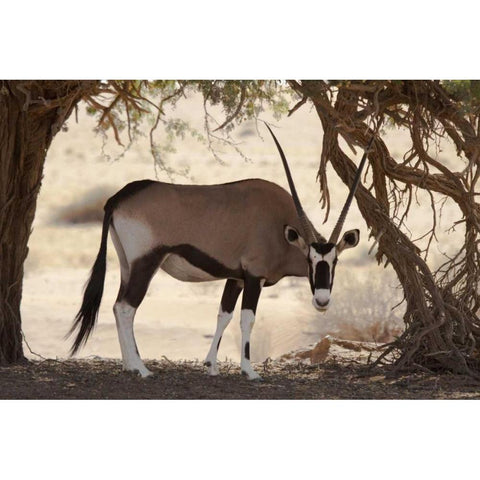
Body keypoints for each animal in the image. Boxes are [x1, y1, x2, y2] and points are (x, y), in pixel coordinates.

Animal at [68, 125, 372, 380]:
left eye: (334, 261)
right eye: (310, 260)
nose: (322, 301)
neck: (279, 224)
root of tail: (118, 198)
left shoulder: (235, 278)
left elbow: (223, 316)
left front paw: (211, 365)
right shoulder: (254, 277)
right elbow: (247, 318)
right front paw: (249, 371)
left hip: (127, 265)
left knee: (117, 306)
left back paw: (128, 365)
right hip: (146, 263)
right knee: (125, 307)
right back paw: (141, 369)